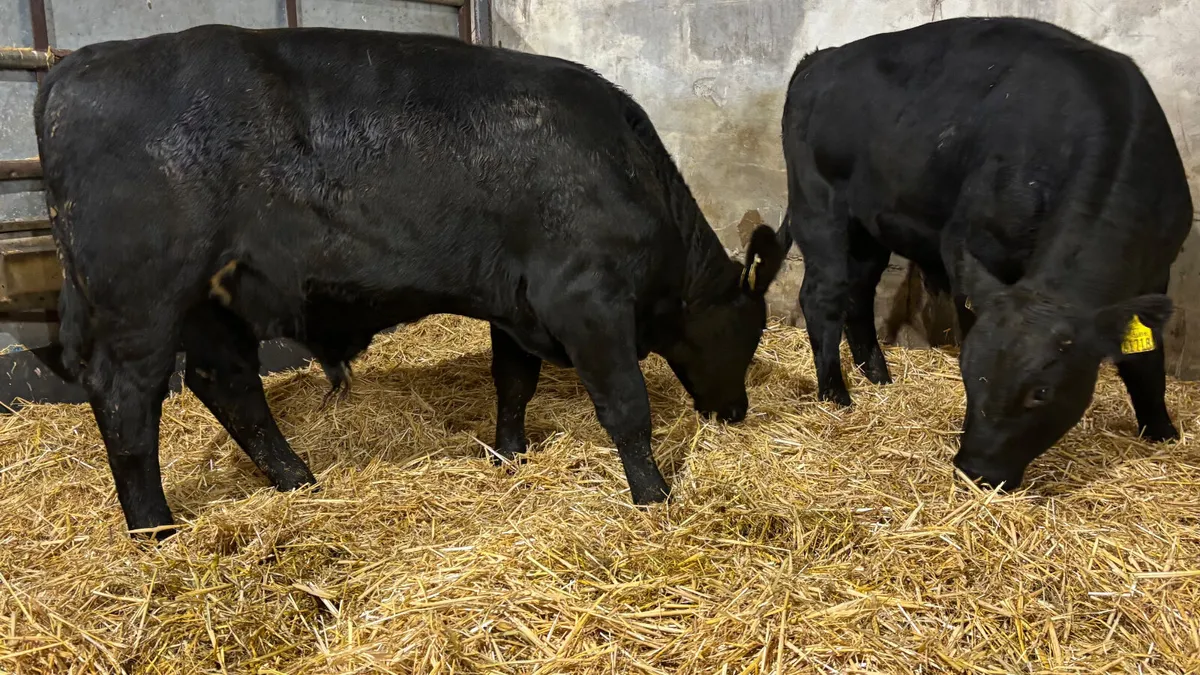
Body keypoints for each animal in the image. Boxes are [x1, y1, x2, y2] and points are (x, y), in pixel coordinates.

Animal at [35, 25, 785, 538]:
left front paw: (508, 455)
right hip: (141, 301)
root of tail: (79, 64)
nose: (736, 410)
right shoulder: (586, 299)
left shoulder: (514, 303)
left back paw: (298, 481)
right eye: (748, 332)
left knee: (229, 386)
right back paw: (154, 530)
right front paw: (654, 496)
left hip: (211, 304)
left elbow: (513, 383)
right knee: (128, 400)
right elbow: (626, 405)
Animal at [776, 17, 1193, 489]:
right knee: (822, 296)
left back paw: (879, 377)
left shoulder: (1155, 271)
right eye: (970, 374)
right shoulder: (974, 248)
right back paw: (836, 394)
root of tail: (819, 58)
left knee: (858, 292)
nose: (976, 470)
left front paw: (1161, 431)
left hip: (869, 226)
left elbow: (1146, 361)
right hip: (818, 206)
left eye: (1041, 392)